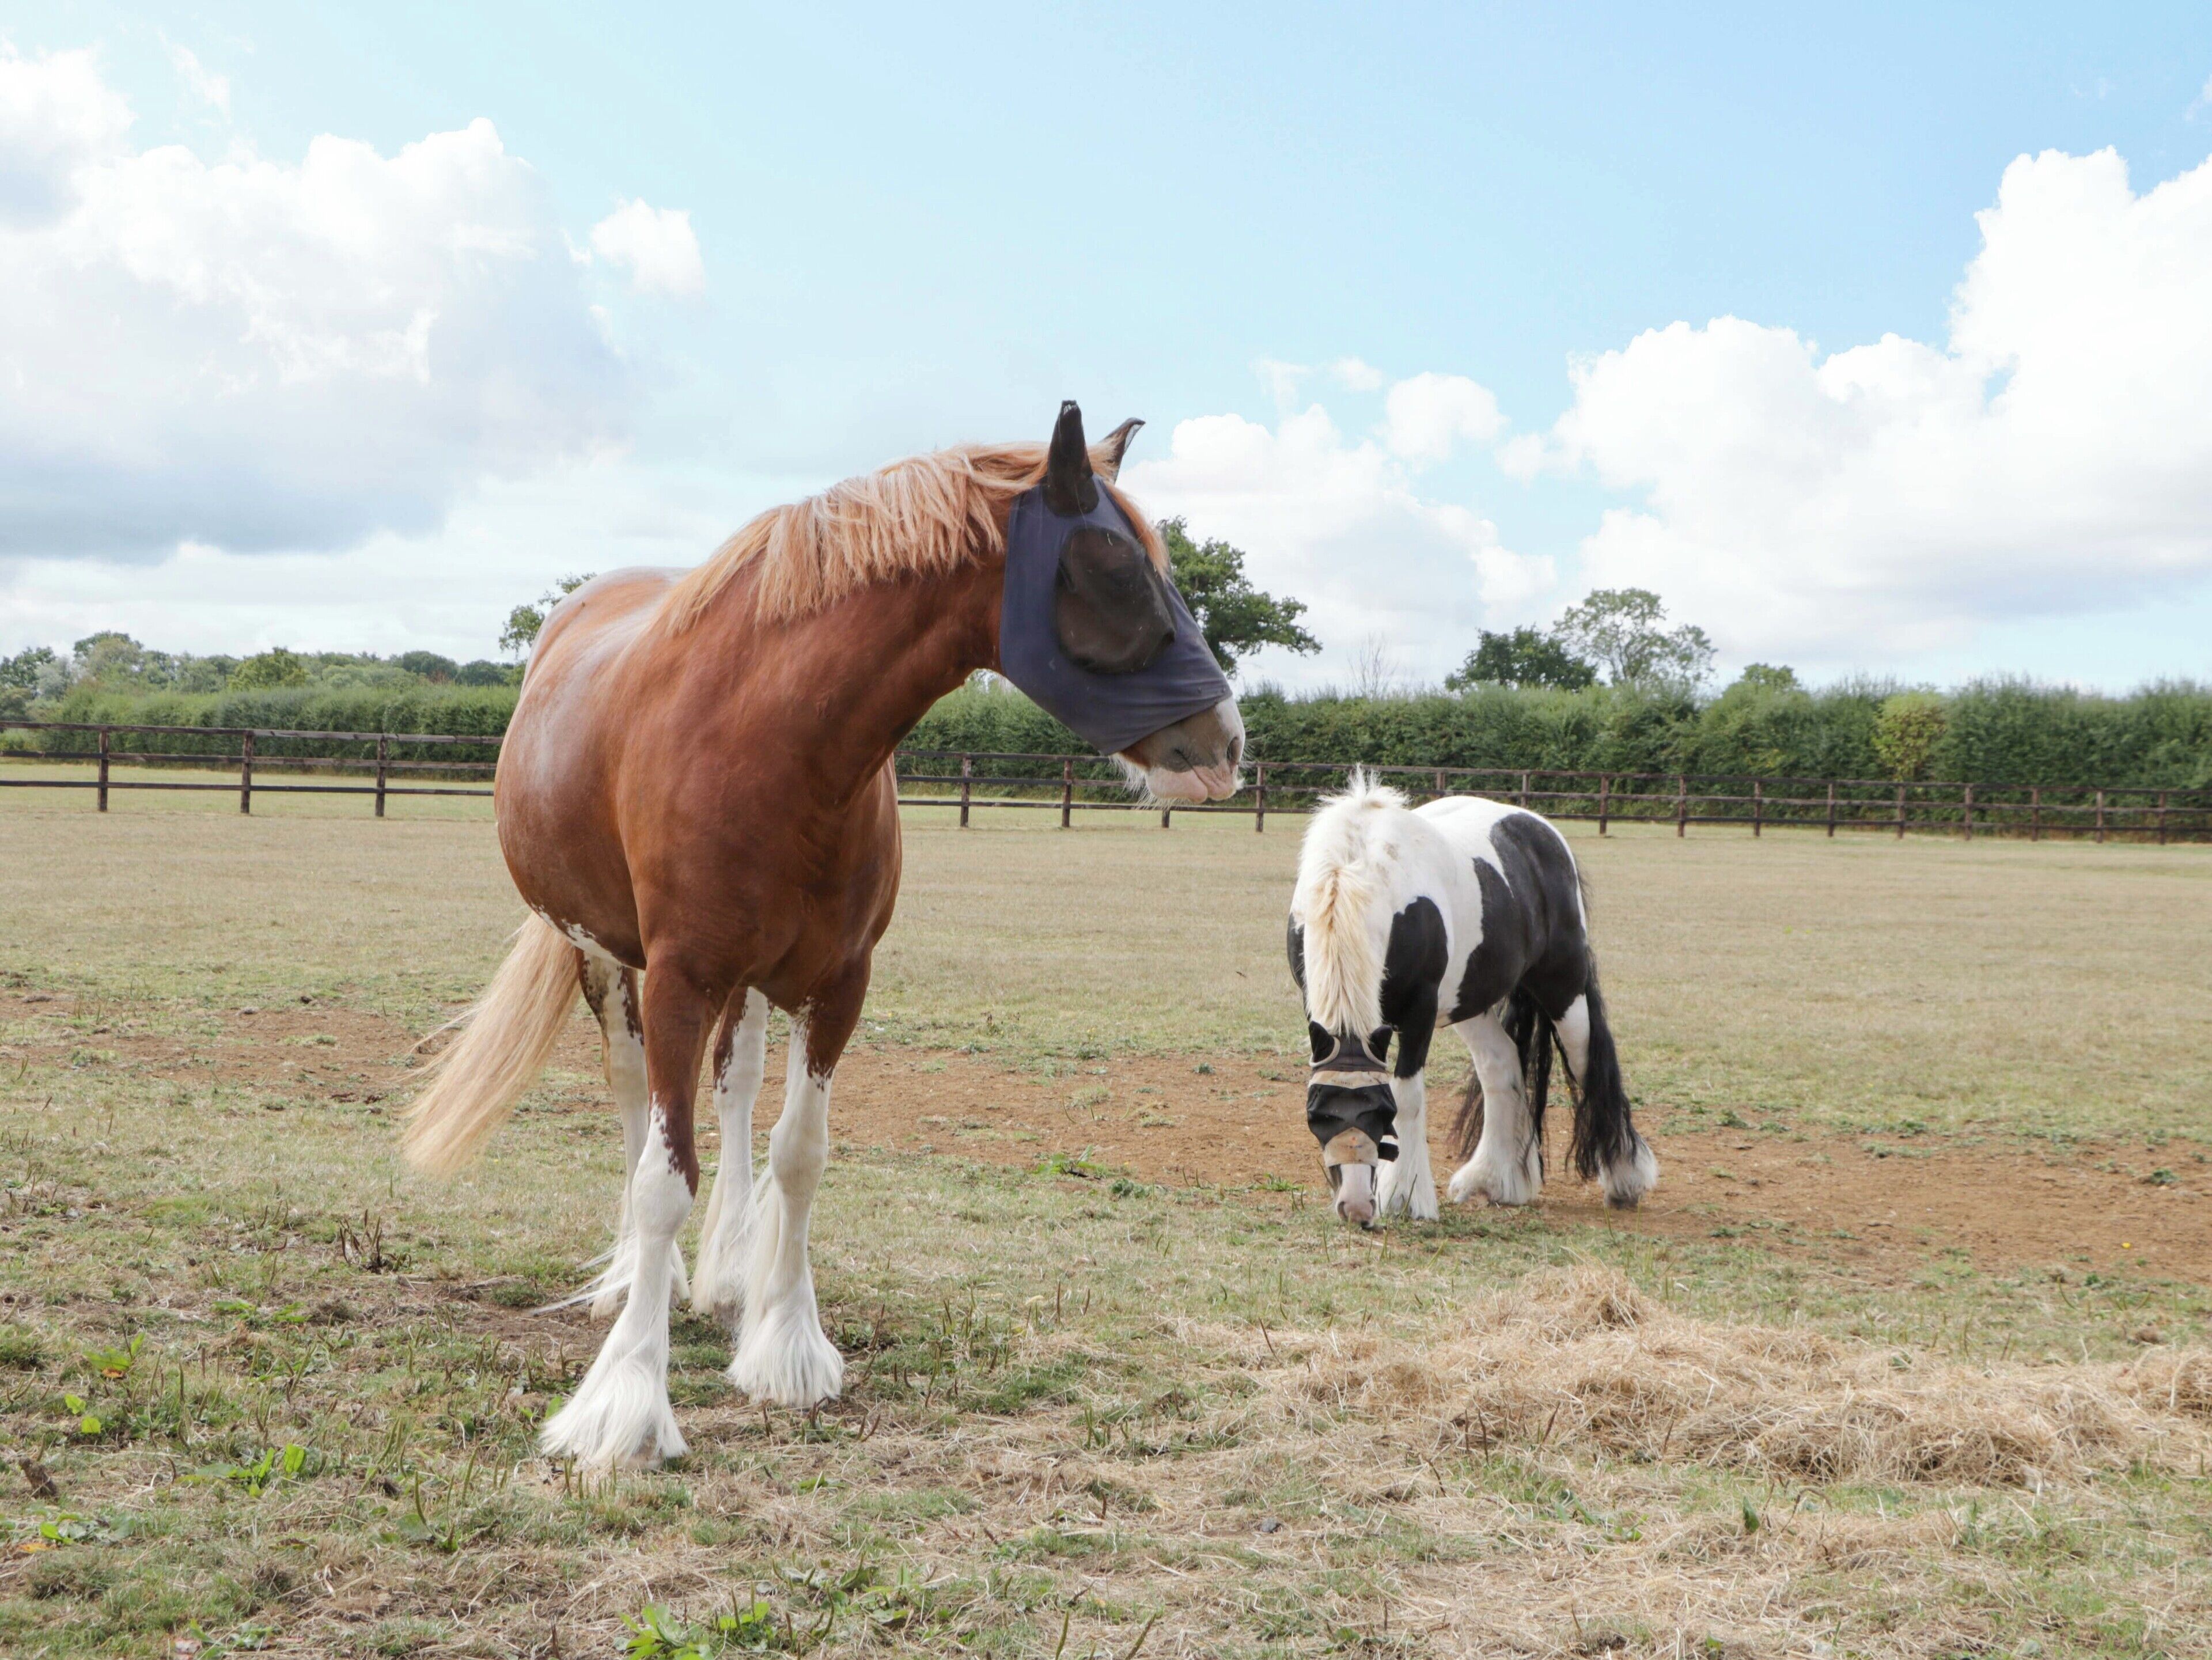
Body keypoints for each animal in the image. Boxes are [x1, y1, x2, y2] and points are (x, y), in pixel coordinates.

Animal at [399, 404, 1244, 1468]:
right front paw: (627, 1399)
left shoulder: (838, 983)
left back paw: (726, 1272)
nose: (1226, 743)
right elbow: (662, 1178)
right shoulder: (677, 977)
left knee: (735, 1085)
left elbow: (799, 1151)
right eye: (1116, 567)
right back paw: (641, 1279)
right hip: (608, 959)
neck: (769, 733)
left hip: (755, 981)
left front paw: (786, 1344)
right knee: (635, 1098)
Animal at [1285, 775, 1657, 1226]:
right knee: (1501, 1065)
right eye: (1317, 1116)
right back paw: (1496, 1180)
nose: (1356, 1208)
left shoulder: (1420, 1012)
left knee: (1588, 1064)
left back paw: (1625, 1179)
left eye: (1381, 1112)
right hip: (1471, 1004)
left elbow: (1409, 1097)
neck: (1354, 871)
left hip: (1563, 989)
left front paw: (1406, 1198)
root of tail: (1540, 831)